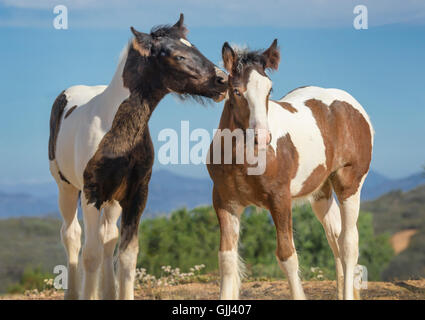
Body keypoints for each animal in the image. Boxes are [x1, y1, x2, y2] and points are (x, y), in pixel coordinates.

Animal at [207, 40, 372, 300]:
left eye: (269, 90)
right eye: (236, 90)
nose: (262, 137)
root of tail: (353, 106)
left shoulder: (280, 200)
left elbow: (287, 256)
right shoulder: (225, 203)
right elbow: (227, 259)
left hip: (350, 185)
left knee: (348, 243)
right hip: (321, 193)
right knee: (334, 238)